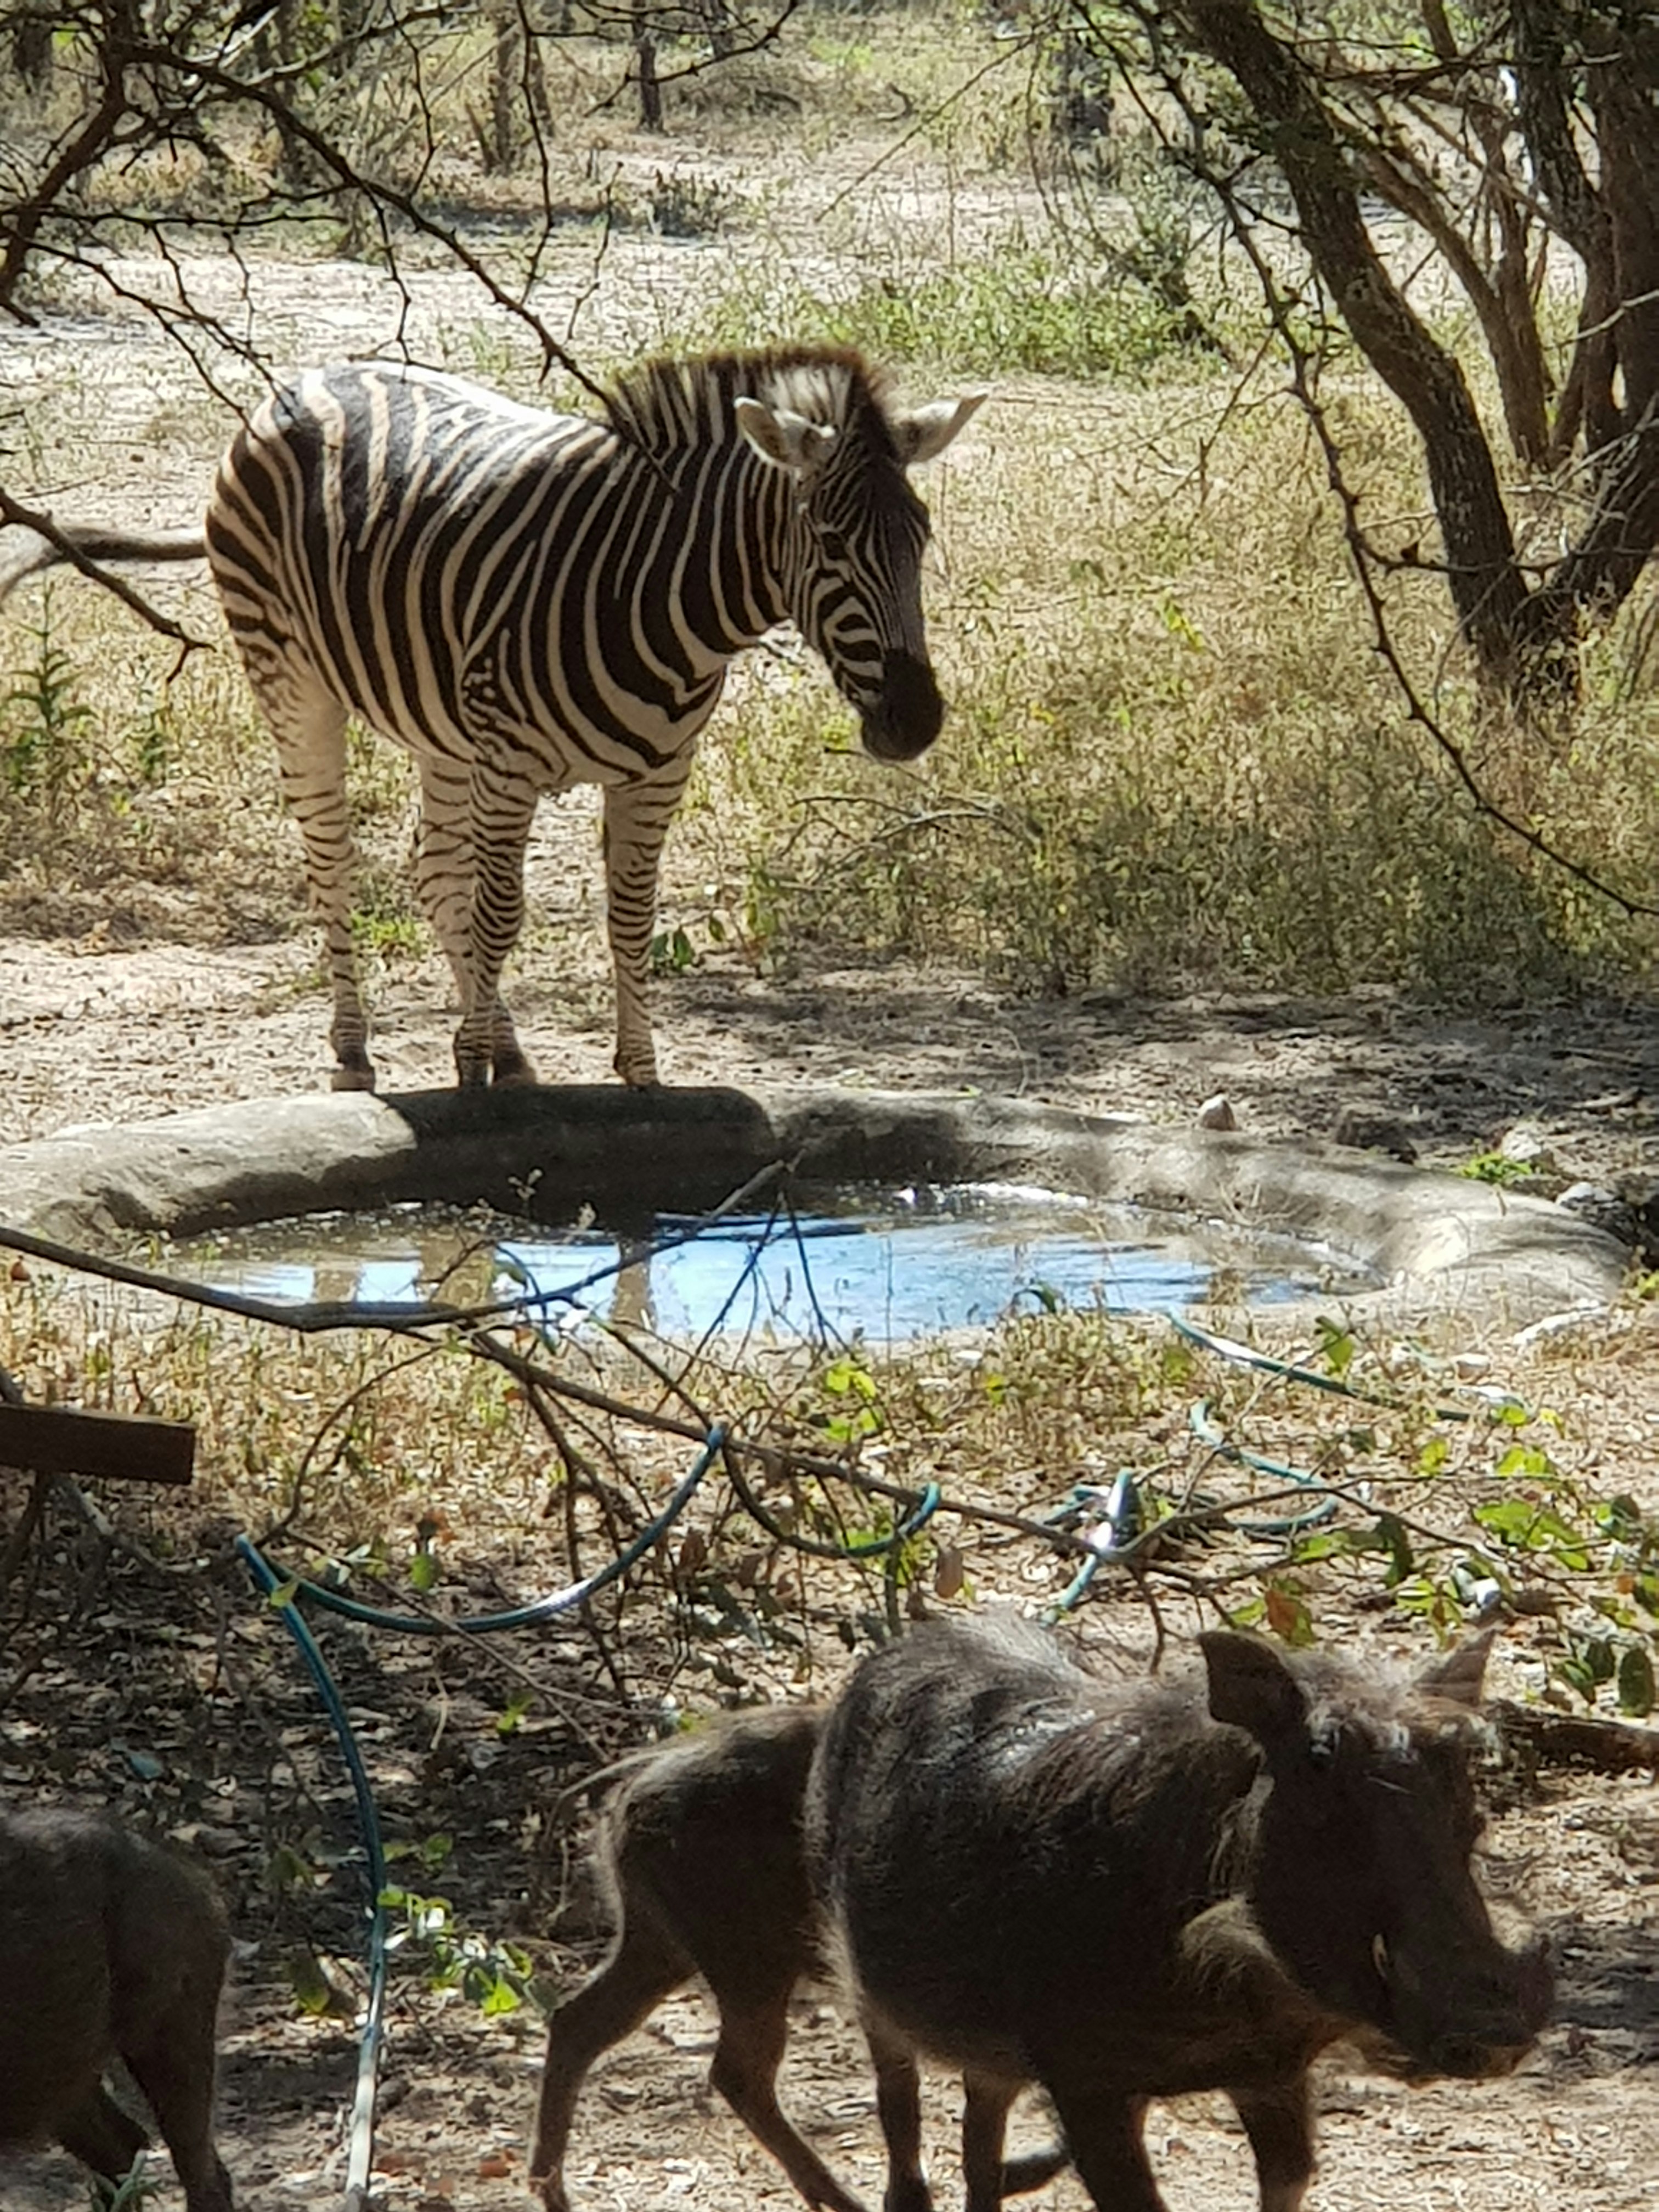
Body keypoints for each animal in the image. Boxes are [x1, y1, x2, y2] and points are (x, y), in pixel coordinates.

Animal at [0, 346, 984, 1091]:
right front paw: (471, 1067)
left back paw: (503, 1044)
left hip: (441, 719)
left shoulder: (660, 769)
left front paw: (637, 1072)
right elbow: (501, 912)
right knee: (335, 858)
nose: (914, 722)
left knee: (432, 869)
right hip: (292, 674)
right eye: (829, 542)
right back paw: (355, 1050)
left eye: (922, 535)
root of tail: (314, 371)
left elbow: (629, 914)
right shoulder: (510, 758)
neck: (670, 603)